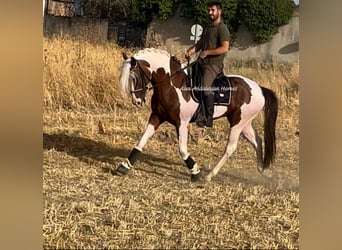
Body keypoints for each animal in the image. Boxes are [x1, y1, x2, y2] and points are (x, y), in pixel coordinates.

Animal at [115, 48, 278, 182]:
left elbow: (182, 149)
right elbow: (141, 142)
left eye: (134, 77)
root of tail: (259, 88)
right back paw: (262, 170)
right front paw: (124, 166)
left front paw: (195, 172)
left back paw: (209, 175)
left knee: (231, 148)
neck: (172, 85)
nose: (136, 101)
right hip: (243, 122)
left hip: (238, 123)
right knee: (257, 141)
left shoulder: (182, 123)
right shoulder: (156, 117)